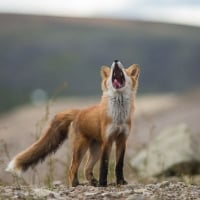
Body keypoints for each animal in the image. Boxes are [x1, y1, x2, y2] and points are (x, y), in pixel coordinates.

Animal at [6, 60, 141, 187]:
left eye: (124, 70)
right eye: (113, 67)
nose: (116, 60)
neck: (119, 116)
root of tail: (78, 111)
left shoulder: (122, 139)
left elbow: (119, 165)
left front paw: (120, 182)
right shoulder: (107, 141)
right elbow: (104, 166)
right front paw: (103, 183)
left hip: (95, 150)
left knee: (86, 168)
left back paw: (93, 183)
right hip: (82, 147)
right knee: (72, 169)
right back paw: (76, 185)